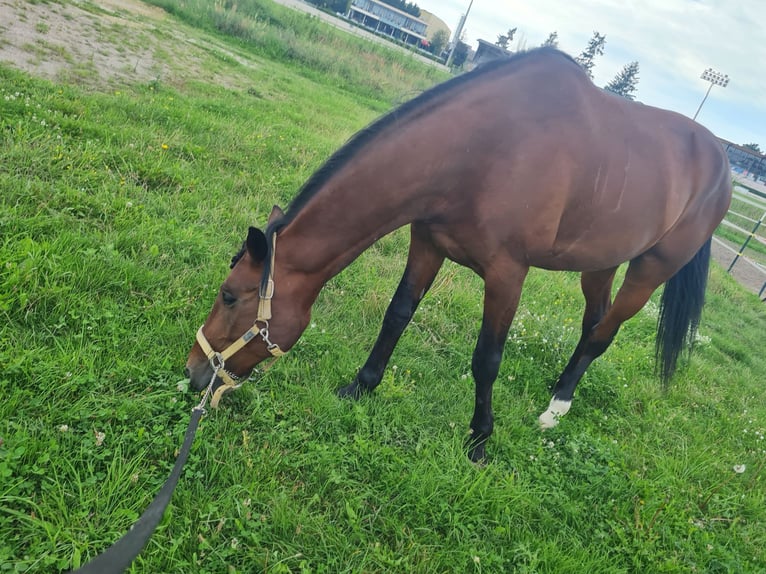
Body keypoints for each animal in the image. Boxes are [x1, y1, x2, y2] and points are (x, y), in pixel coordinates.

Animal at [184, 48, 732, 464]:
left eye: (229, 296)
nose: (194, 373)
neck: (484, 149)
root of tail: (722, 162)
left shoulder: (508, 274)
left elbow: (487, 358)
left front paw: (480, 439)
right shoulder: (427, 244)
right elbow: (397, 314)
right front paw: (361, 387)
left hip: (651, 269)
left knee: (604, 333)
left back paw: (555, 409)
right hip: (600, 261)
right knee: (592, 322)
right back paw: (559, 397)